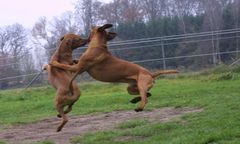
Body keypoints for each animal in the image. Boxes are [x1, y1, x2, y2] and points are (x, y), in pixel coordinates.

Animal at [50, 23, 178, 112]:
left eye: (94, 27)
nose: (91, 25)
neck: (98, 46)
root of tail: (151, 74)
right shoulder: (78, 66)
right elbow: (73, 62)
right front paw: (73, 60)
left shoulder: (78, 68)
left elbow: (63, 65)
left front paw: (53, 63)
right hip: (131, 88)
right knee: (147, 94)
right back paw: (134, 100)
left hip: (141, 84)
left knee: (145, 97)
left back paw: (139, 108)